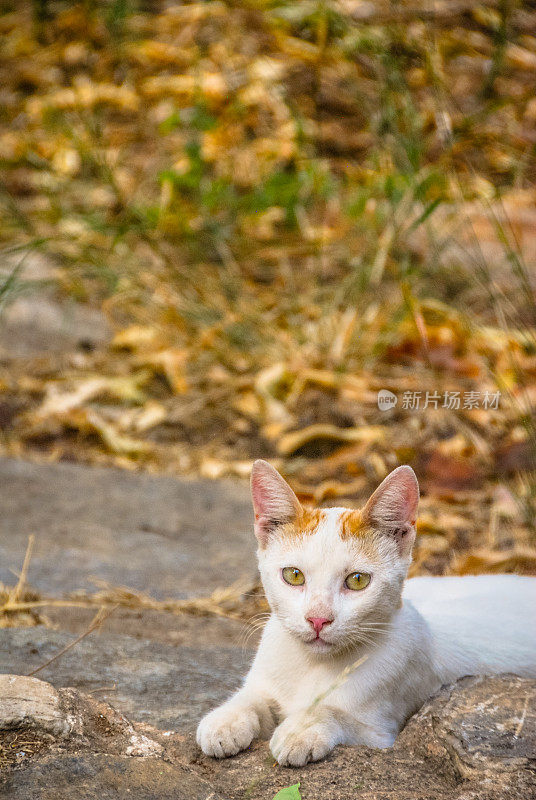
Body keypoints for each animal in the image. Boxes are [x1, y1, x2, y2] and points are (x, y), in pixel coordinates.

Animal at [196, 462, 536, 768]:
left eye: (357, 580)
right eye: (293, 575)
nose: (318, 619)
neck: (314, 666)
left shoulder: (381, 731)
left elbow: (334, 713)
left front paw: (302, 727)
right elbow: (252, 696)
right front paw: (225, 719)